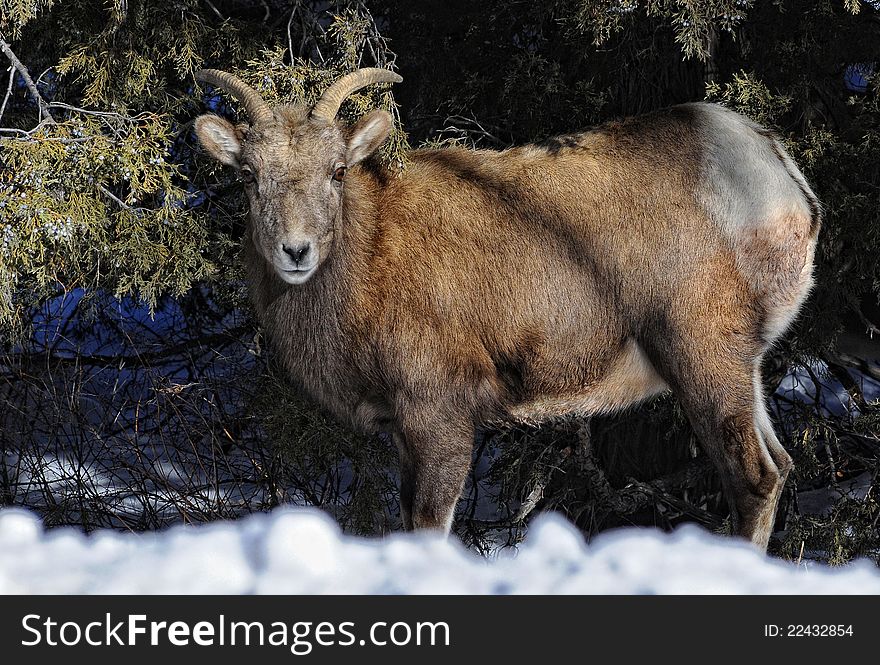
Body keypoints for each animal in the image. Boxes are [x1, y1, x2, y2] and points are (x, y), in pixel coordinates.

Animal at [196, 67, 820, 548]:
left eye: (338, 170)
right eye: (248, 175)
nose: (296, 251)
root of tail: (781, 177)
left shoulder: (439, 419)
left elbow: (431, 525)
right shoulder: (403, 434)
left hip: (705, 362)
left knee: (753, 480)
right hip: (744, 369)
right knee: (779, 469)